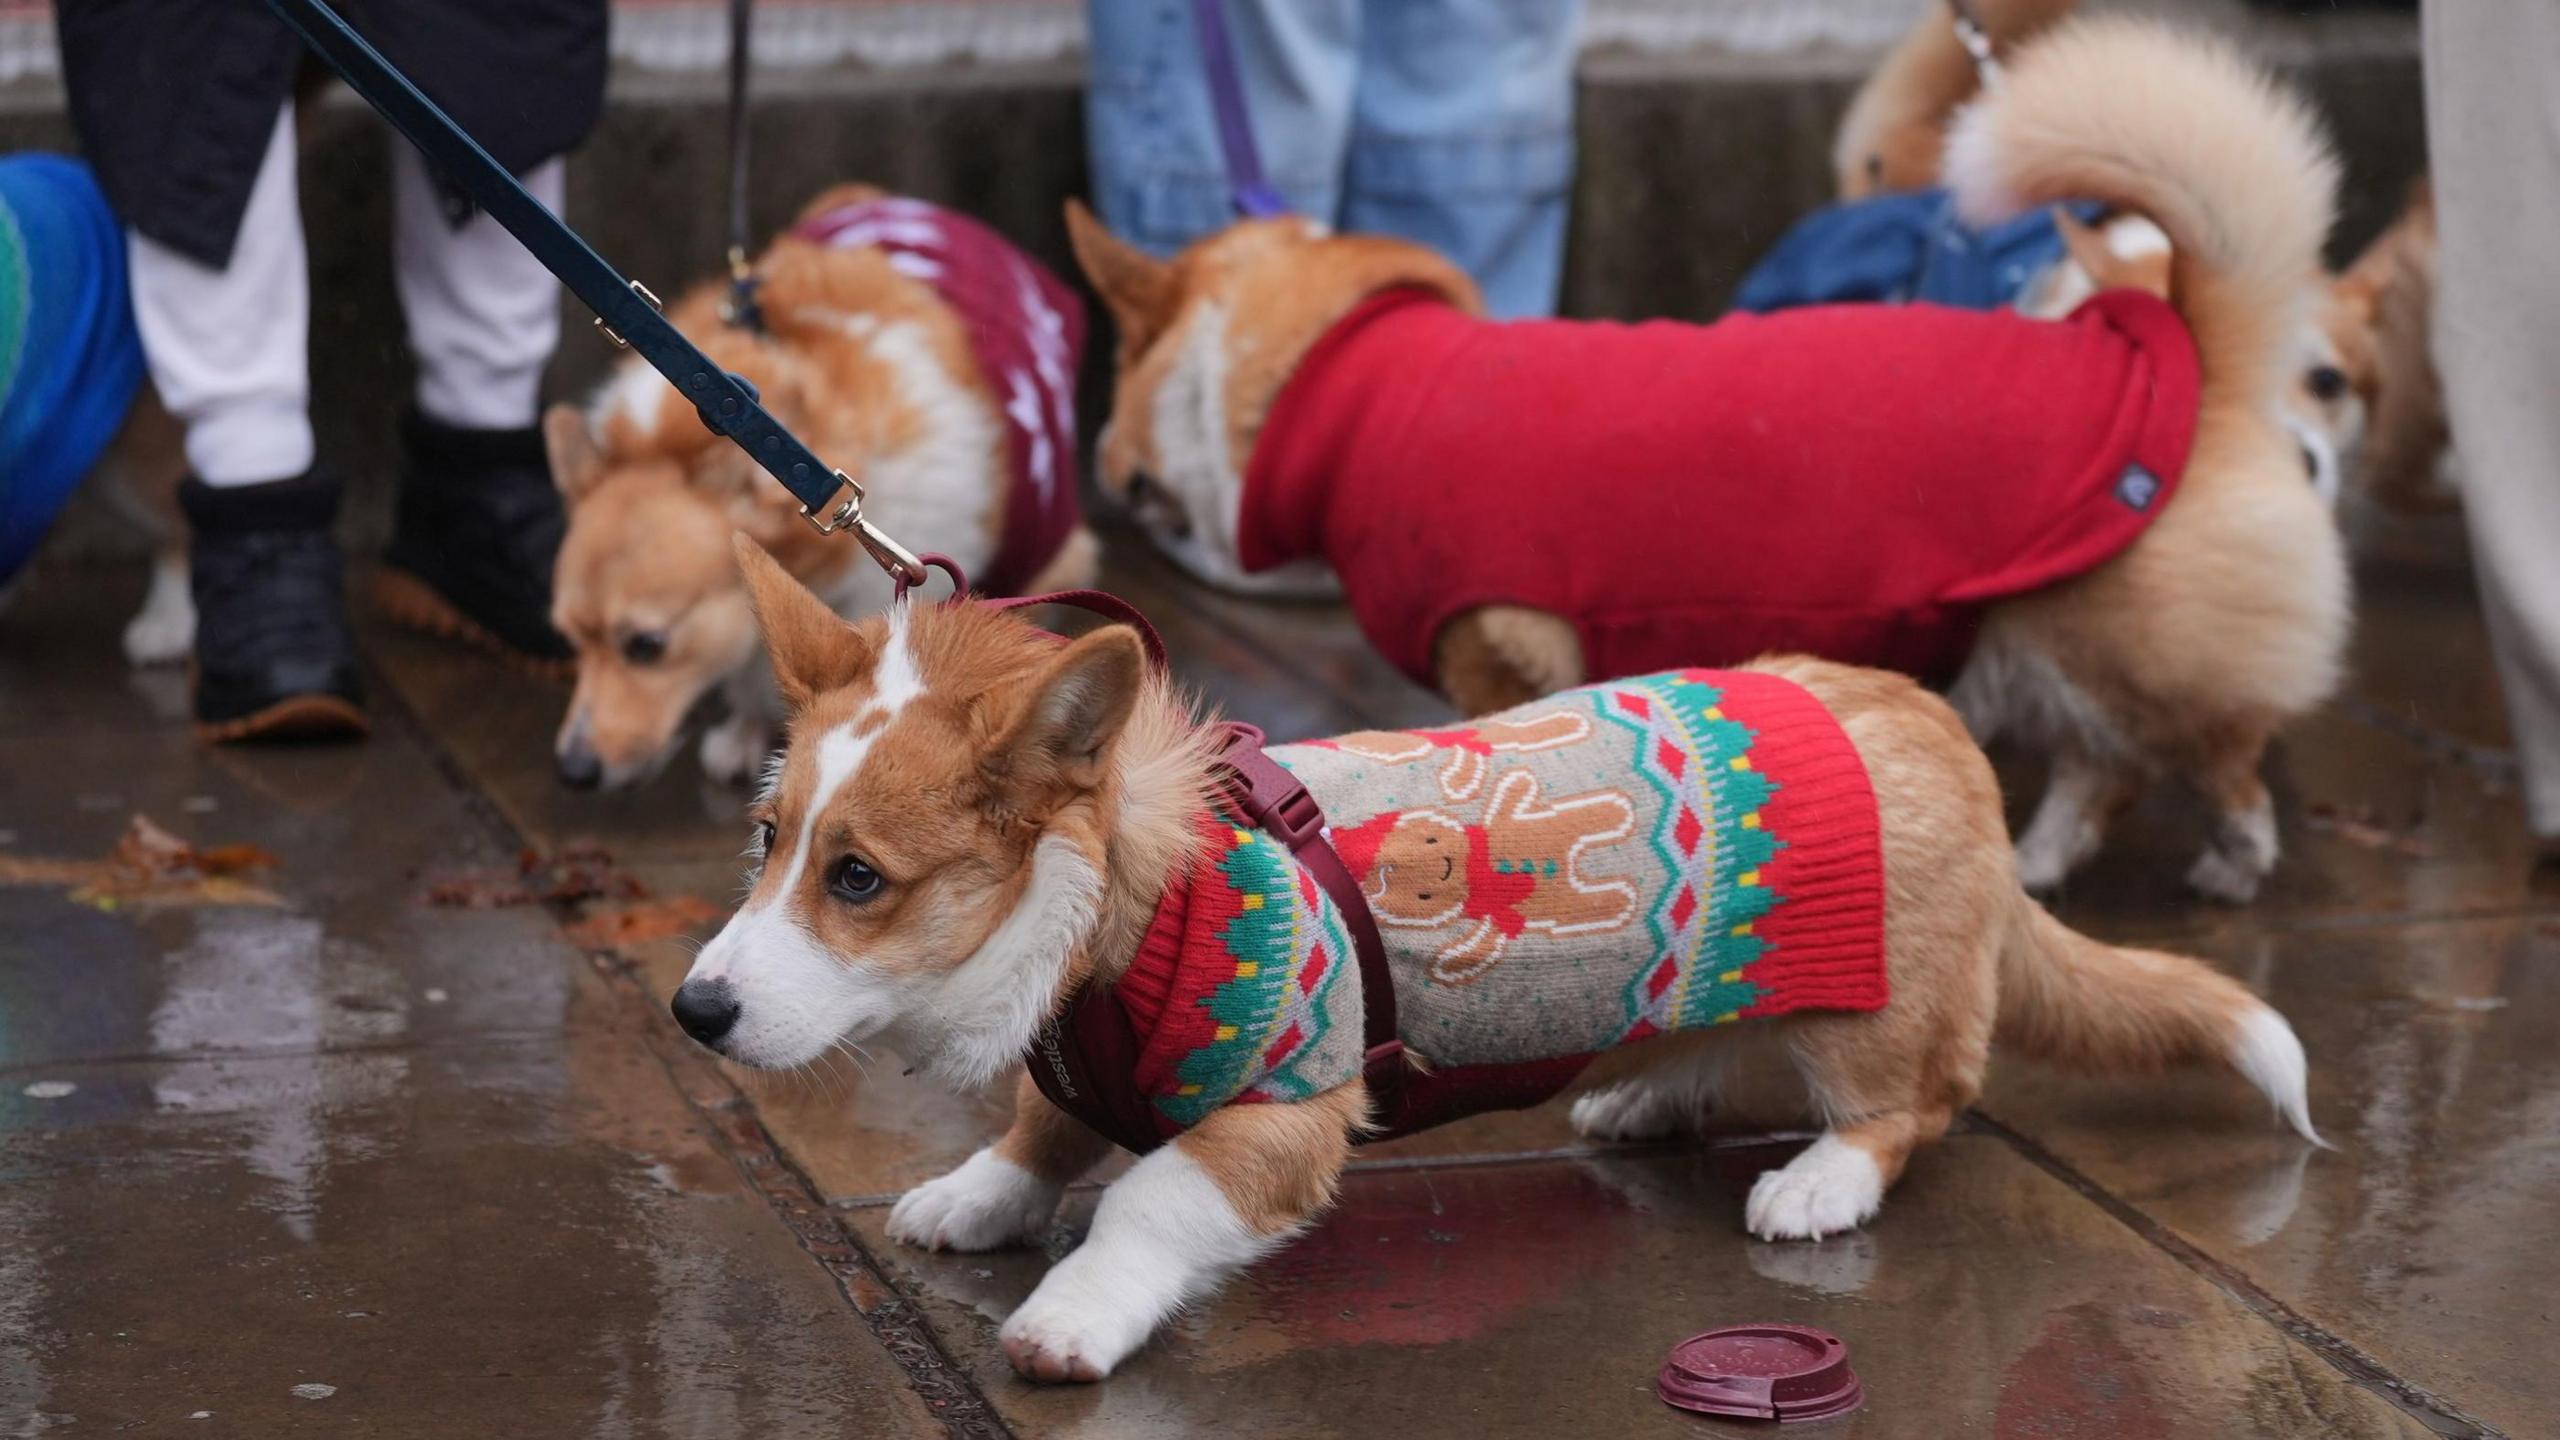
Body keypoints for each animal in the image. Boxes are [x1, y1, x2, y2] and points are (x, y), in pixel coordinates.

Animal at [1070, 16, 2344, 901]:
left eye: (1120, 363)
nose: (1108, 460)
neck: (1339, 379)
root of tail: (2188, 345)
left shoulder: (1499, 642)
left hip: (2110, 648)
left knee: (2198, 757)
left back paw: (2226, 865)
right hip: (2050, 644)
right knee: (2101, 771)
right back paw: (2037, 862)